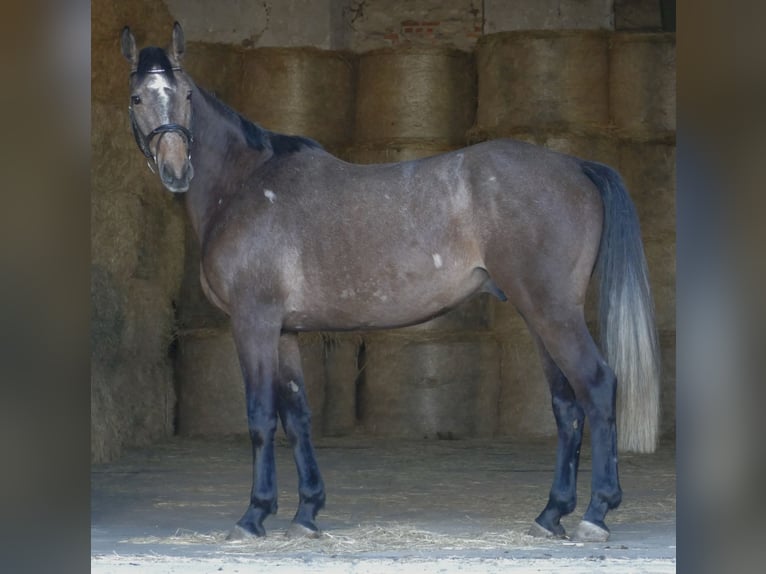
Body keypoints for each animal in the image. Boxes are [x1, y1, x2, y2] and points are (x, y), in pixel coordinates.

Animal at [120, 22, 660, 543]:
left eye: (187, 95)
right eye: (137, 98)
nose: (176, 169)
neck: (245, 185)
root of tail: (576, 164)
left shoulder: (253, 323)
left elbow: (259, 417)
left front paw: (255, 515)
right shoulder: (284, 332)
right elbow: (297, 417)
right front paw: (306, 513)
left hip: (551, 311)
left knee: (596, 386)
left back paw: (596, 513)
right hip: (538, 314)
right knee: (567, 406)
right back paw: (552, 514)